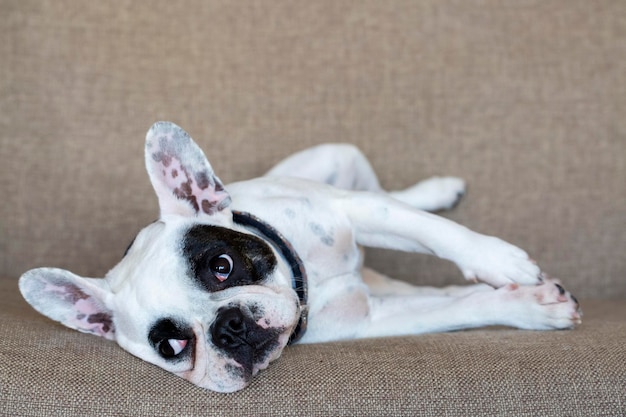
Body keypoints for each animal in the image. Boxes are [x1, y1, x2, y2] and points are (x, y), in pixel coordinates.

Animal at [19, 122, 580, 392]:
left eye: (221, 266)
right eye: (173, 346)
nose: (229, 327)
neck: (308, 277)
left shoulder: (355, 211)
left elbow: (435, 232)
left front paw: (498, 261)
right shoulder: (373, 318)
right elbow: (460, 306)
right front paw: (528, 305)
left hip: (338, 161)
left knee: (396, 198)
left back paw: (437, 190)